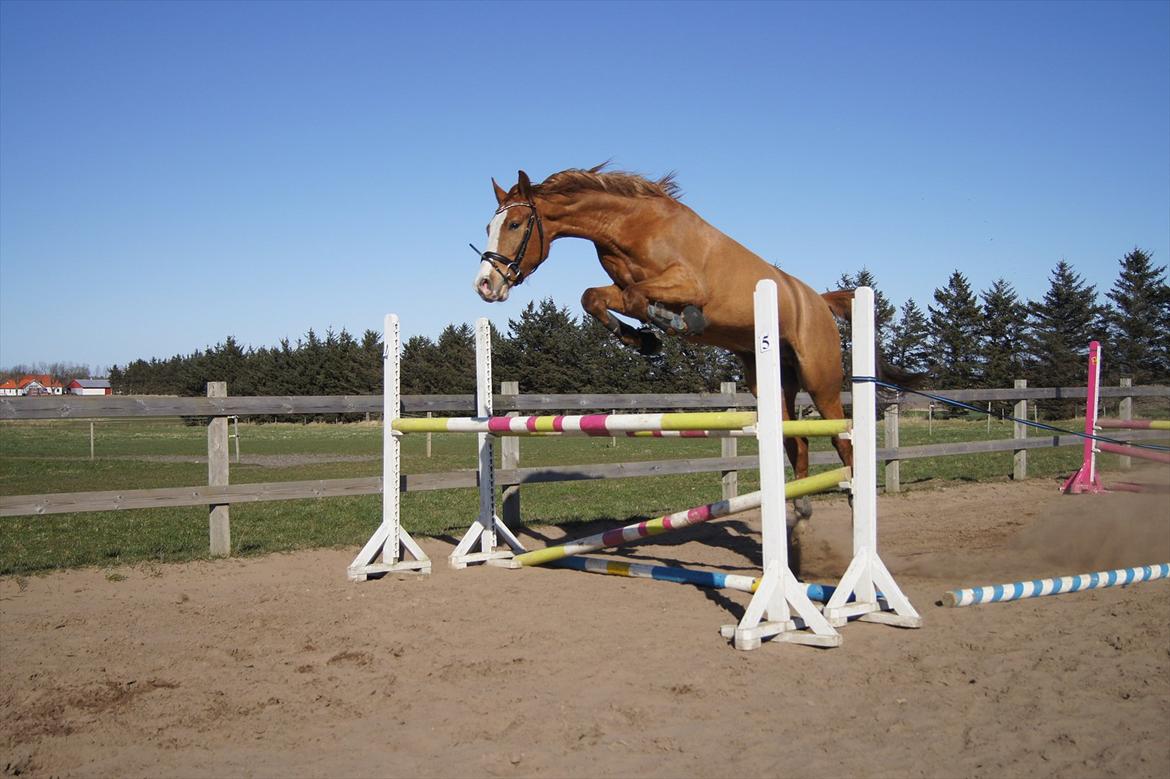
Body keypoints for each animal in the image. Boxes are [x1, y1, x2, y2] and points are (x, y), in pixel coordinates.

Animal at [477, 164, 861, 519]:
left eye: (514, 225)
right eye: (489, 228)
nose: (484, 285)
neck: (632, 226)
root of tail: (818, 300)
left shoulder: (688, 284)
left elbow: (637, 297)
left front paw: (675, 321)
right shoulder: (619, 286)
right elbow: (596, 297)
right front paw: (642, 340)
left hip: (820, 380)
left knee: (841, 438)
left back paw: (853, 501)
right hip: (770, 380)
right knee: (795, 440)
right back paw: (800, 508)